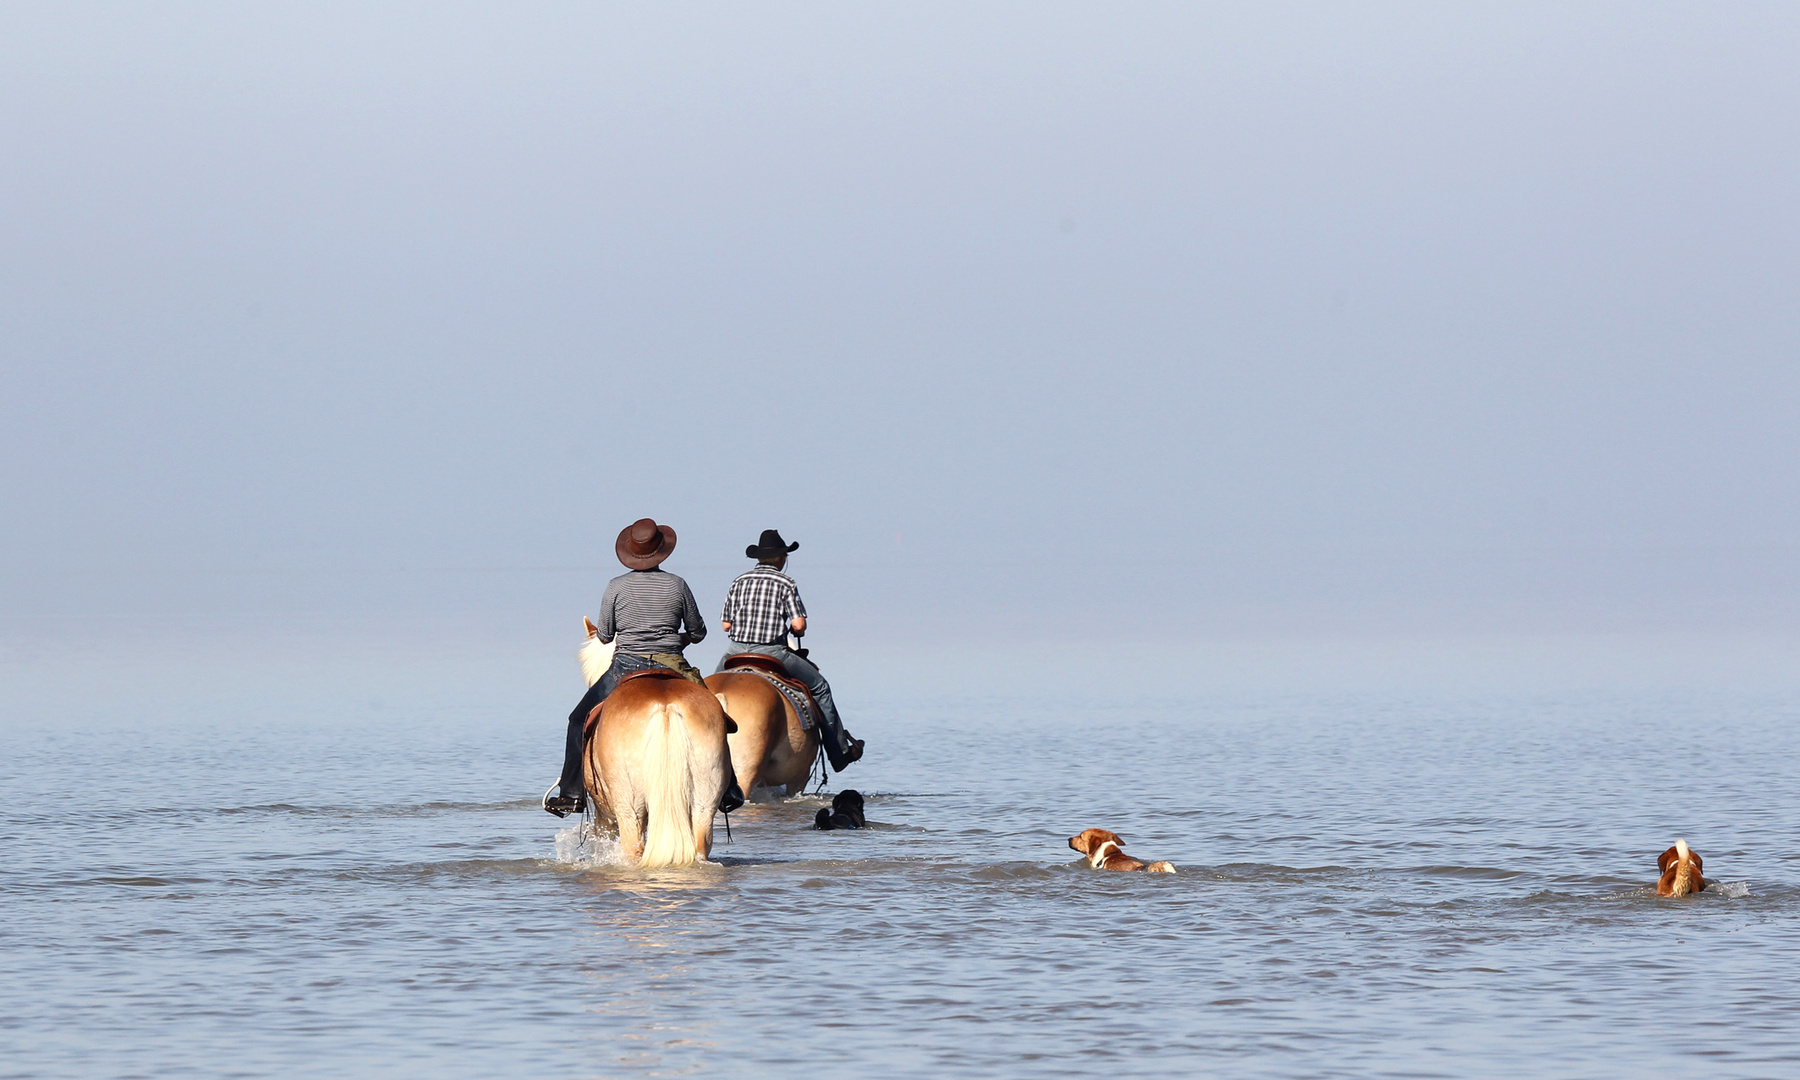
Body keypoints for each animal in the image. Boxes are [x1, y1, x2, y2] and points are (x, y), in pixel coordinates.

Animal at [576, 619, 730, 864]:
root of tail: (666, 706)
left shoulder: (605, 817)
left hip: (628, 807)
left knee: (634, 849)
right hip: (705, 799)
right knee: (700, 843)